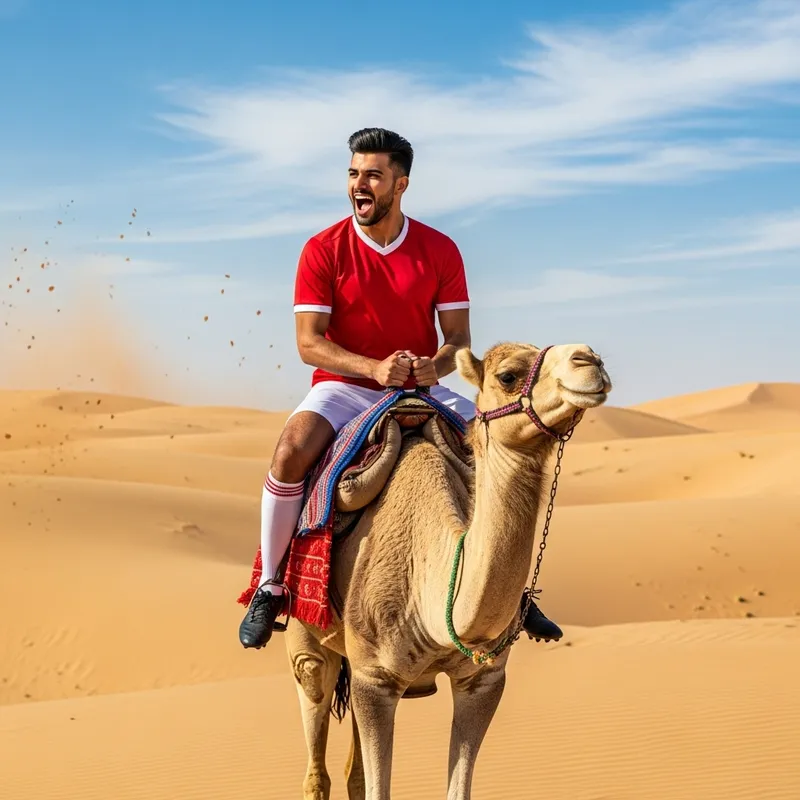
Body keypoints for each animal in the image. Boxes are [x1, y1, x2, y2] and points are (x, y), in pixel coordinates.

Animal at [283, 341, 612, 799]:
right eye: (508, 376)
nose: (589, 359)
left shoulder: (483, 680)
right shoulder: (375, 678)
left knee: (353, 774)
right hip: (307, 639)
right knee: (316, 745)